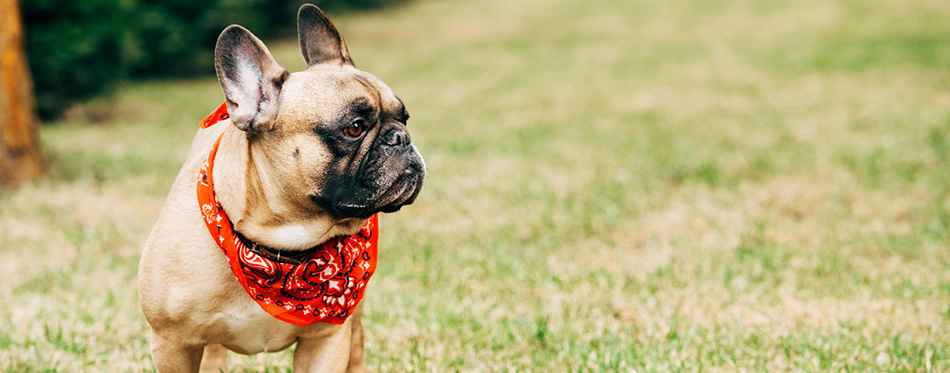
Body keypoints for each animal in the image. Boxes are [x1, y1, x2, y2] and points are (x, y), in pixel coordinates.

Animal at [138, 4, 428, 370]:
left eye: (404, 118)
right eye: (354, 128)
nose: (401, 138)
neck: (281, 245)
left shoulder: (326, 341)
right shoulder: (171, 344)